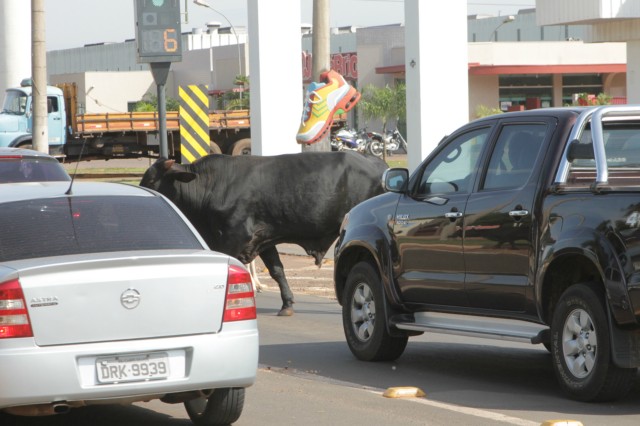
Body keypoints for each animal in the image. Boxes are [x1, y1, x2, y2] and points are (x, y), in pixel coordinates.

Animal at [139, 152, 388, 316]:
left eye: (151, 179)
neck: (210, 186)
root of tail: (378, 164)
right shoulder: (264, 239)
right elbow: (277, 270)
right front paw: (287, 304)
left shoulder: (234, 238)